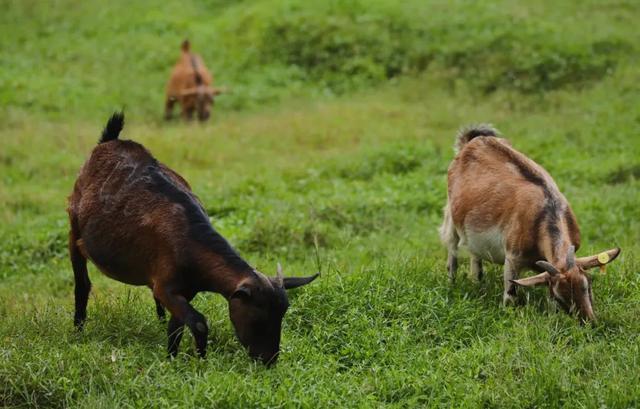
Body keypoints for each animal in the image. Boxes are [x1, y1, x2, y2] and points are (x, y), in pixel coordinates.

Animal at [67, 112, 318, 364]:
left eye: (282, 315)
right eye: (258, 318)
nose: (269, 360)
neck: (189, 242)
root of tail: (109, 141)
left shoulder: (183, 290)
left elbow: (176, 327)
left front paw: (171, 360)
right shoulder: (166, 287)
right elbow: (198, 322)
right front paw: (200, 360)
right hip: (73, 225)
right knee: (82, 283)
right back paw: (78, 331)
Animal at [440, 124, 620, 322]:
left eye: (587, 285)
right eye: (559, 296)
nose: (589, 323)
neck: (546, 213)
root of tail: (472, 142)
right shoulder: (513, 258)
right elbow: (510, 295)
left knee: (474, 254)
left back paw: (477, 282)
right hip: (451, 215)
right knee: (452, 247)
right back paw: (451, 283)